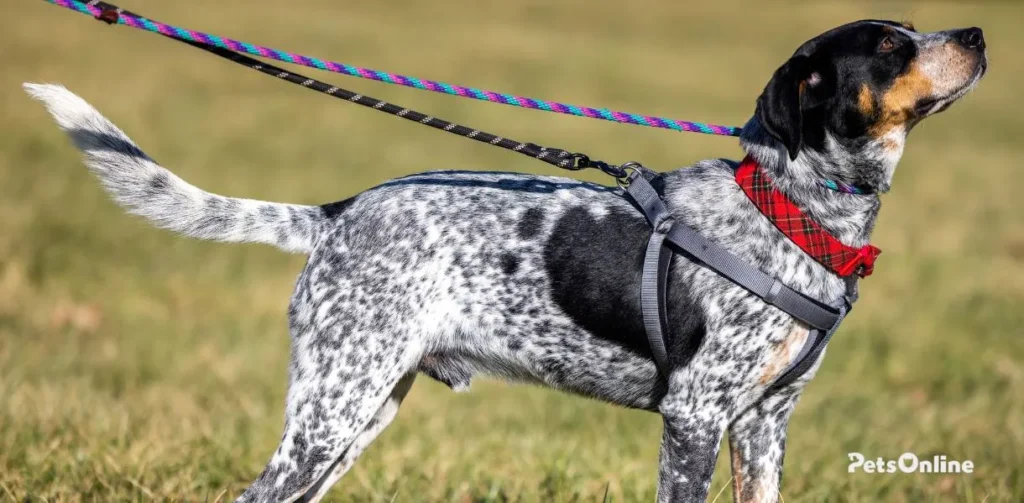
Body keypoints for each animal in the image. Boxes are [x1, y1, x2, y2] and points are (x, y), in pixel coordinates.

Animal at [24, 17, 983, 501]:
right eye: (891, 45)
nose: (976, 29)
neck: (794, 209)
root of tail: (335, 214)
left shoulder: (765, 421)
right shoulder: (695, 416)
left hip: (361, 407)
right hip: (334, 407)